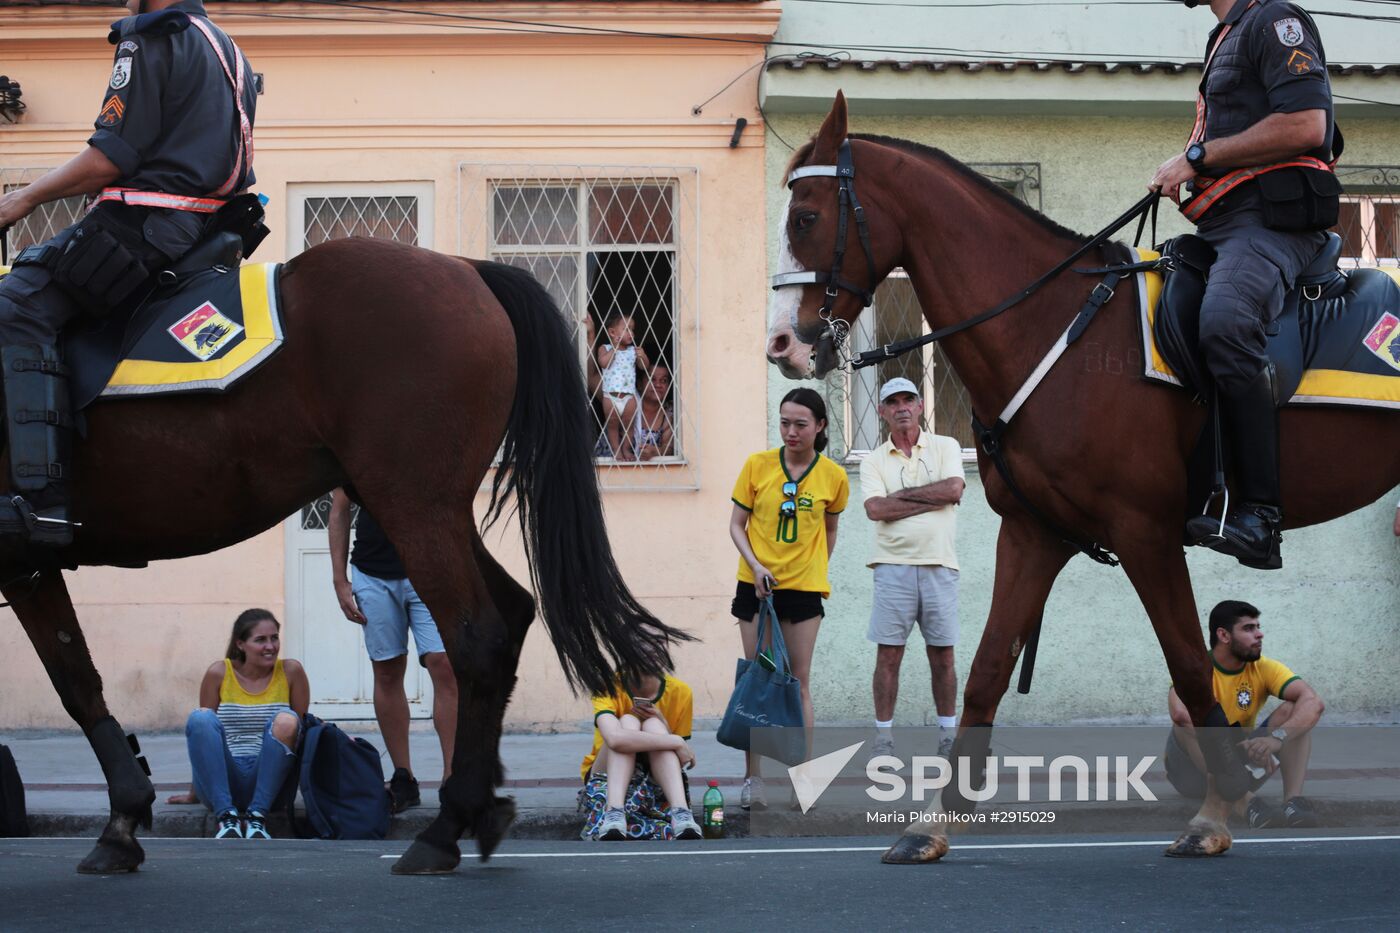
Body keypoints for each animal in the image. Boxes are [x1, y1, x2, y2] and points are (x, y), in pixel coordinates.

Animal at [0, 232, 677, 874]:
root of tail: (466, 269)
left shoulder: (21, 565)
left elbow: (72, 682)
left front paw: (121, 821)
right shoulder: (32, 567)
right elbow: (77, 679)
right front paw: (122, 822)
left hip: (414, 504)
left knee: (477, 636)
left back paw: (444, 828)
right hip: (432, 508)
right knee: (509, 613)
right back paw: (480, 808)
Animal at [767, 94, 1400, 857]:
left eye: (805, 217)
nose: (781, 344)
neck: (1055, 328)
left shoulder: (1145, 533)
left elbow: (1192, 668)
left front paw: (1218, 805)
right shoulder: (1034, 532)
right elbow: (984, 672)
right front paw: (935, 819)